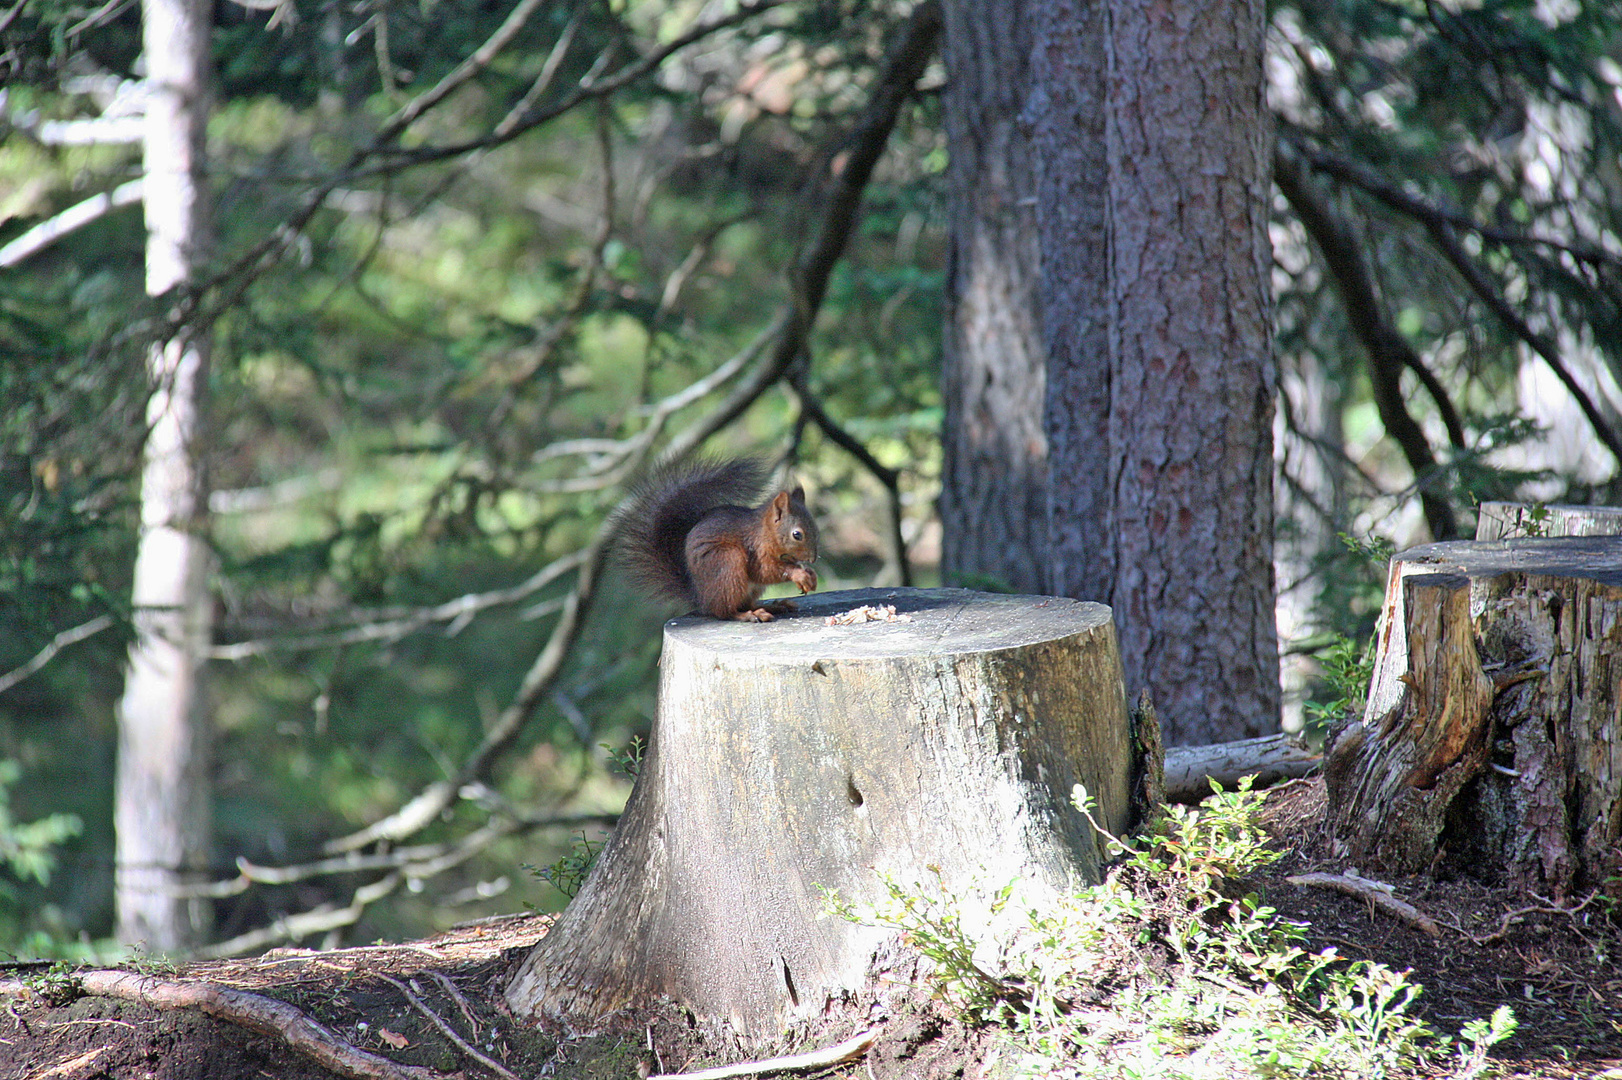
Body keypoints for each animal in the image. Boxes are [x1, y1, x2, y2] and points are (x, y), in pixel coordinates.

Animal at [619, 457, 823, 622]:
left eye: (815, 528)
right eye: (797, 535)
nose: (813, 558)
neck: (765, 533)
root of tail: (701, 599)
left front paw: (810, 575)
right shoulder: (755, 550)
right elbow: (764, 571)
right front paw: (799, 574)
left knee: (745, 603)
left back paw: (773, 606)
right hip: (728, 564)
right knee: (725, 611)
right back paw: (748, 615)